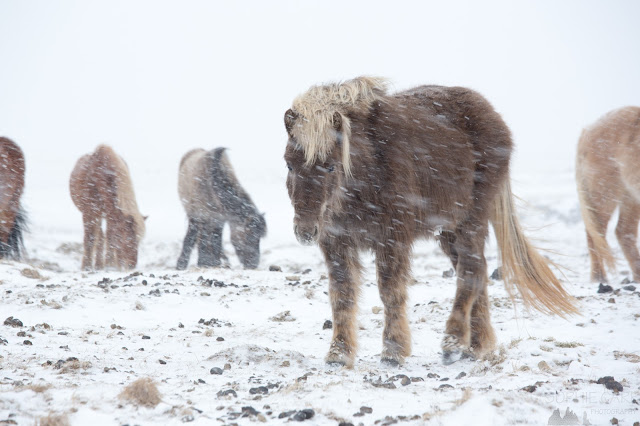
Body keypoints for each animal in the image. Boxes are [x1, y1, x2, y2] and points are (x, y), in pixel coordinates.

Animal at [284, 77, 577, 367]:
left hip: (472, 220)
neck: (368, 167)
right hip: (448, 230)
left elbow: (390, 290)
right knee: (478, 271)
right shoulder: (336, 241)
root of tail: (495, 119)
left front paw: (393, 351)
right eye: (289, 165)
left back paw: (452, 342)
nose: (306, 231)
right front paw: (339, 353)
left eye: (331, 166)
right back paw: (476, 346)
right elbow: (342, 294)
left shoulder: (392, 238)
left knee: (470, 271)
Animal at [576, 106, 640, 283]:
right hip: (604, 193)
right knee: (596, 234)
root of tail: (586, 130)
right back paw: (599, 278)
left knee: (624, 232)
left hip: (630, 196)